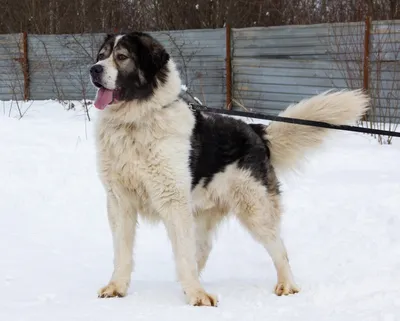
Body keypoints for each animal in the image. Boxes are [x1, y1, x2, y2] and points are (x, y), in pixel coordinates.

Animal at [90, 31, 368, 304]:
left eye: (122, 57)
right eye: (102, 55)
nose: (93, 69)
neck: (136, 122)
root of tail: (256, 130)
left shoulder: (172, 199)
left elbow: (183, 252)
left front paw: (197, 295)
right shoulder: (119, 201)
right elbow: (122, 252)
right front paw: (117, 287)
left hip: (254, 208)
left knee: (278, 246)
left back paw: (286, 285)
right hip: (204, 212)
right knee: (202, 249)